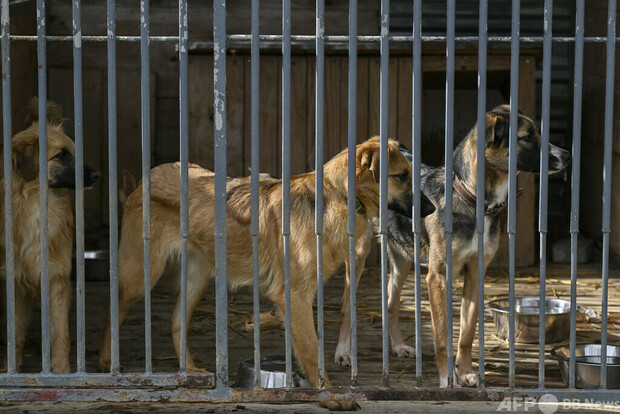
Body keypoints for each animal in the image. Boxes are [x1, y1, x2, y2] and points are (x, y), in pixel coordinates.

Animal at [0, 98, 100, 372]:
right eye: (62, 156)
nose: (97, 176)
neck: (37, 204)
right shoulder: (16, 281)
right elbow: (15, 332)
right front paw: (10, 369)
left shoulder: (57, 278)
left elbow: (59, 335)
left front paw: (62, 372)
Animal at [97, 137, 414, 410]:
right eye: (401, 176)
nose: (425, 211)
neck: (339, 193)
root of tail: (145, 178)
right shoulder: (295, 294)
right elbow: (312, 350)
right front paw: (329, 395)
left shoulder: (296, 296)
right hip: (142, 274)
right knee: (114, 307)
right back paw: (107, 362)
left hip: (198, 276)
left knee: (176, 321)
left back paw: (191, 372)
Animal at [334, 105, 572, 386]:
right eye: (526, 137)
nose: (567, 155)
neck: (472, 199)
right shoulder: (437, 277)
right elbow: (442, 337)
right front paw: (447, 380)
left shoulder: (475, 274)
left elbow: (466, 335)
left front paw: (466, 372)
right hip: (358, 254)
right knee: (345, 304)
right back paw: (343, 352)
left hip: (402, 259)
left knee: (391, 305)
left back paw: (398, 346)